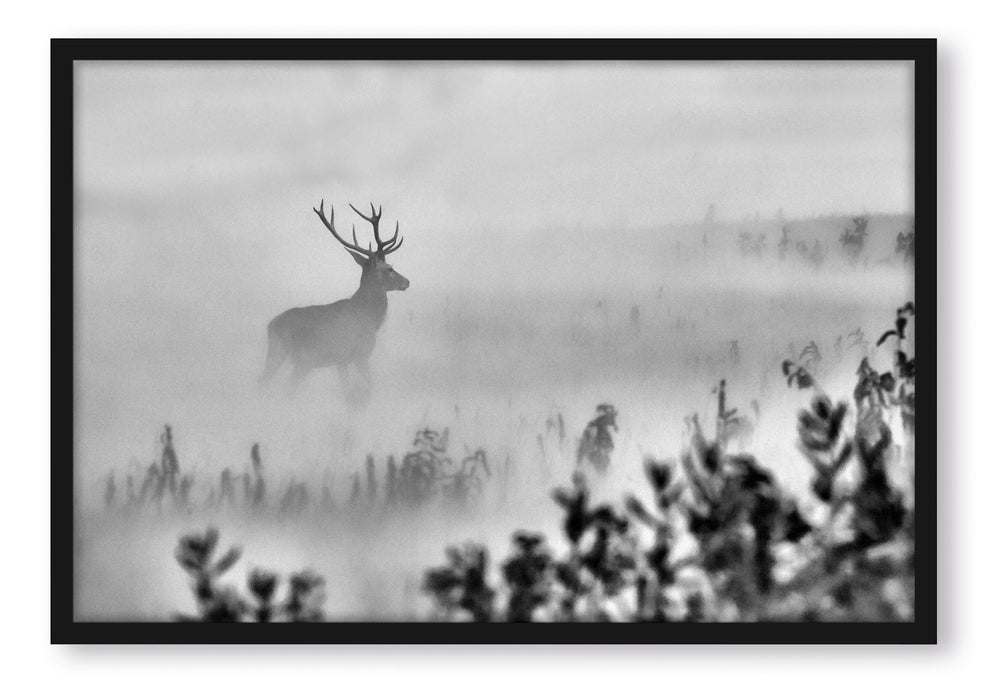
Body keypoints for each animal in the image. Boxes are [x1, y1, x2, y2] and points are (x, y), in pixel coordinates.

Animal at [259, 200, 409, 395]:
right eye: (390, 268)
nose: (406, 281)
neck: (369, 318)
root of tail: (270, 325)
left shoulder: (341, 360)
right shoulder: (358, 354)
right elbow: (368, 386)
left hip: (292, 358)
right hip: (290, 353)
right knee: (271, 383)